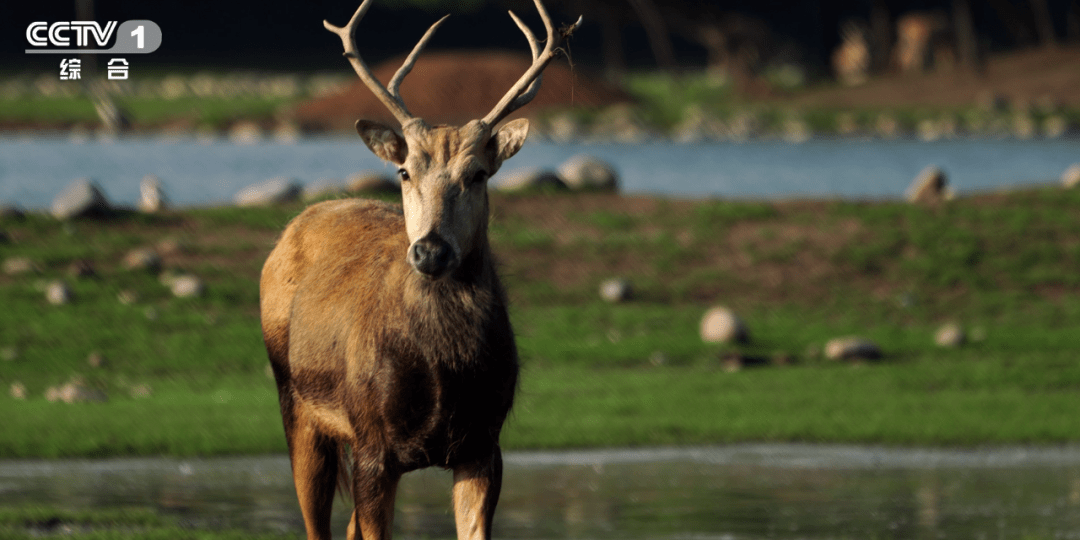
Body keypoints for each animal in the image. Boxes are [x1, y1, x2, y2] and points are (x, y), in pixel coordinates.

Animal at [260, 1, 578, 540]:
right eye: (405, 171)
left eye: (478, 174)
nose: (430, 251)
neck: (442, 370)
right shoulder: (373, 445)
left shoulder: (483, 445)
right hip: (296, 401)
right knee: (316, 523)